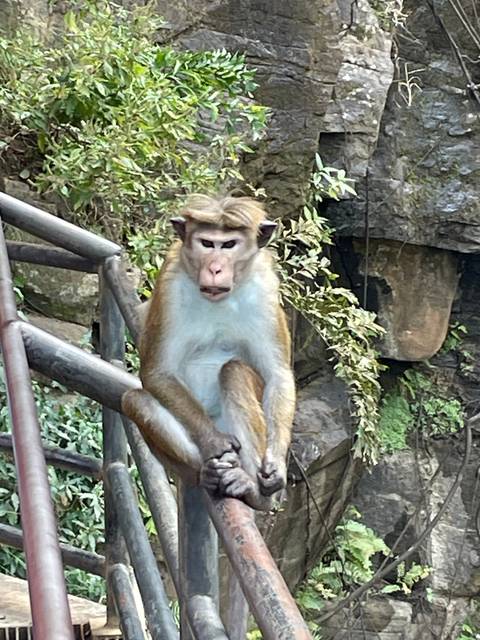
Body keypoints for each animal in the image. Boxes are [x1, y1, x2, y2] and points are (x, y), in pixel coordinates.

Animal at [122, 194, 296, 510]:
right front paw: (214, 442)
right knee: (136, 401)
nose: (215, 268)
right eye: (207, 243)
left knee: (234, 371)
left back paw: (253, 490)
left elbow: (277, 374)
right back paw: (207, 473)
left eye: (228, 245)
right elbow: (157, 372)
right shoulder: (168, 282)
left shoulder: (265, 287)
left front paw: (276, 465)